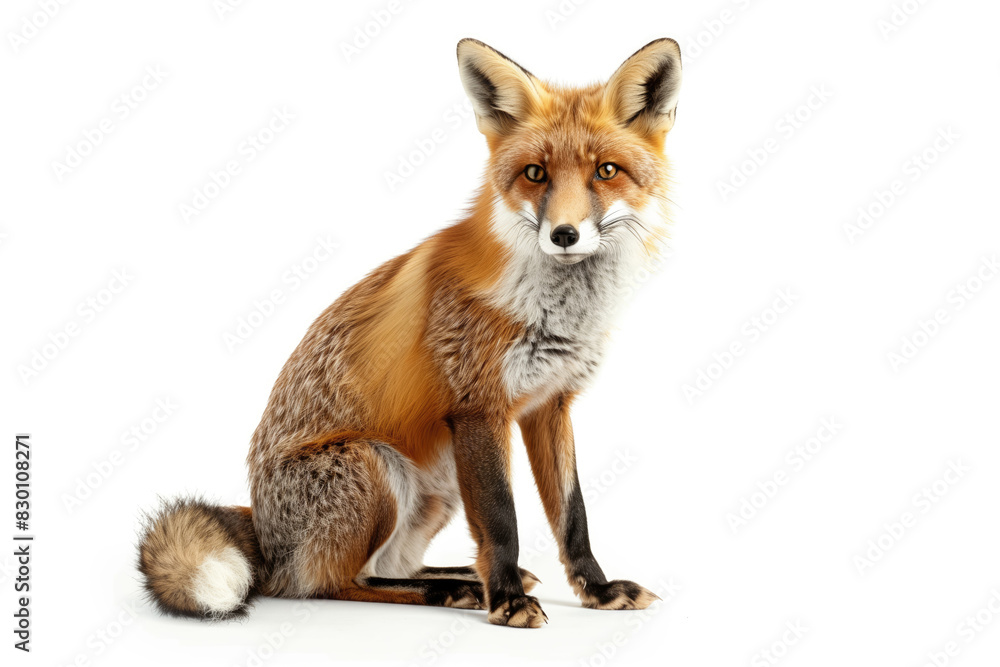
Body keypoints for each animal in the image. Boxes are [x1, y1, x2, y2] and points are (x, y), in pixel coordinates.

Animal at [137, 37, 682, 629]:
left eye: (606, 171)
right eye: (536, 174)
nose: (564, 234)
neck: (553, 310)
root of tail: (264, 528)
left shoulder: (549, 405)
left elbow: (572, 515)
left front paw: (597, 592)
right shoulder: (478, 407)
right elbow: (502, 522)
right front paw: (508, 601)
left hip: (437, 492)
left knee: (393, 566)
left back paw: (459, 578)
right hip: (374, 466)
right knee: (332, 583)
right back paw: (455, 591)